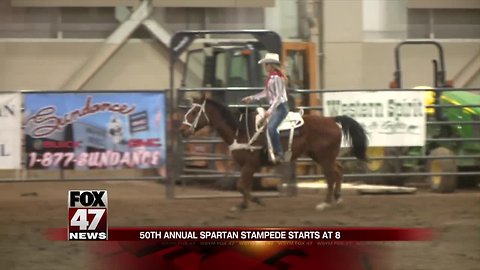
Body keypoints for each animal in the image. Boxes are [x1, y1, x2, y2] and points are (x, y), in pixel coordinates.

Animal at [178, 96, 370, 211]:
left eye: (194, 112)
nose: (182, 130)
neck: (239, 130)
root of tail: (332, 120)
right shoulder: (246, 167)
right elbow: (243, 186)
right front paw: (243, 205)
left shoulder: (249, 165)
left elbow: (241, 186)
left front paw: (257, 201)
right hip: (322, 156)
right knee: (338, 171)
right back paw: (338, 199)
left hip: (324, 158)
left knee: (331, 176)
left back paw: (325, 203)